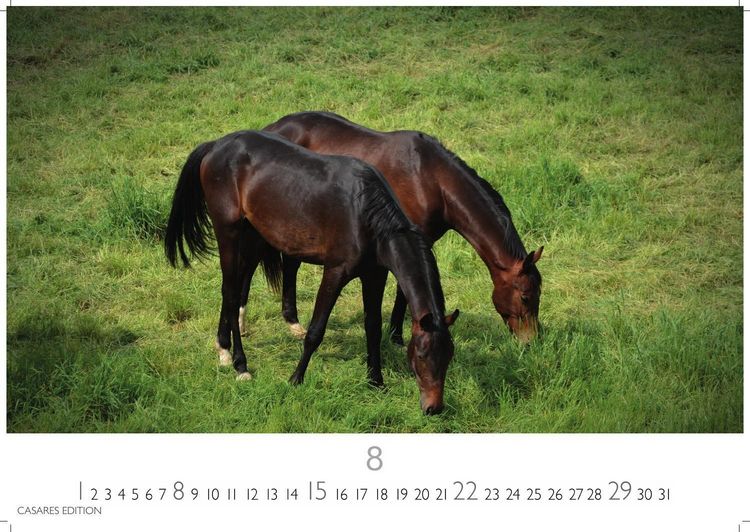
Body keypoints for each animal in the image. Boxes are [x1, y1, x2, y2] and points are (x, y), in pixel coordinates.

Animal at [164, 130, 459, 415]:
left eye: (449, 356)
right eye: (421, 355)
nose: (434, 408)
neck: (366, 215)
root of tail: (215, 145)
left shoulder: (374, 276)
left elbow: (373, 328)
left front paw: (376, 381)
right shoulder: (335, 273)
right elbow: (316, 330)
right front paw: (295, 379)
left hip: (251, 232)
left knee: (232, 290)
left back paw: (223, 349)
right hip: (228, 232)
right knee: (231, 291)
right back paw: (240, 364)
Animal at [257, 111, 543, 344]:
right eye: (525, 297)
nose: (531, 341)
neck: (432, 179)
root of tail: (271, 128)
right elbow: (402, 290)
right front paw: (396, 335)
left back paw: (293, 322)